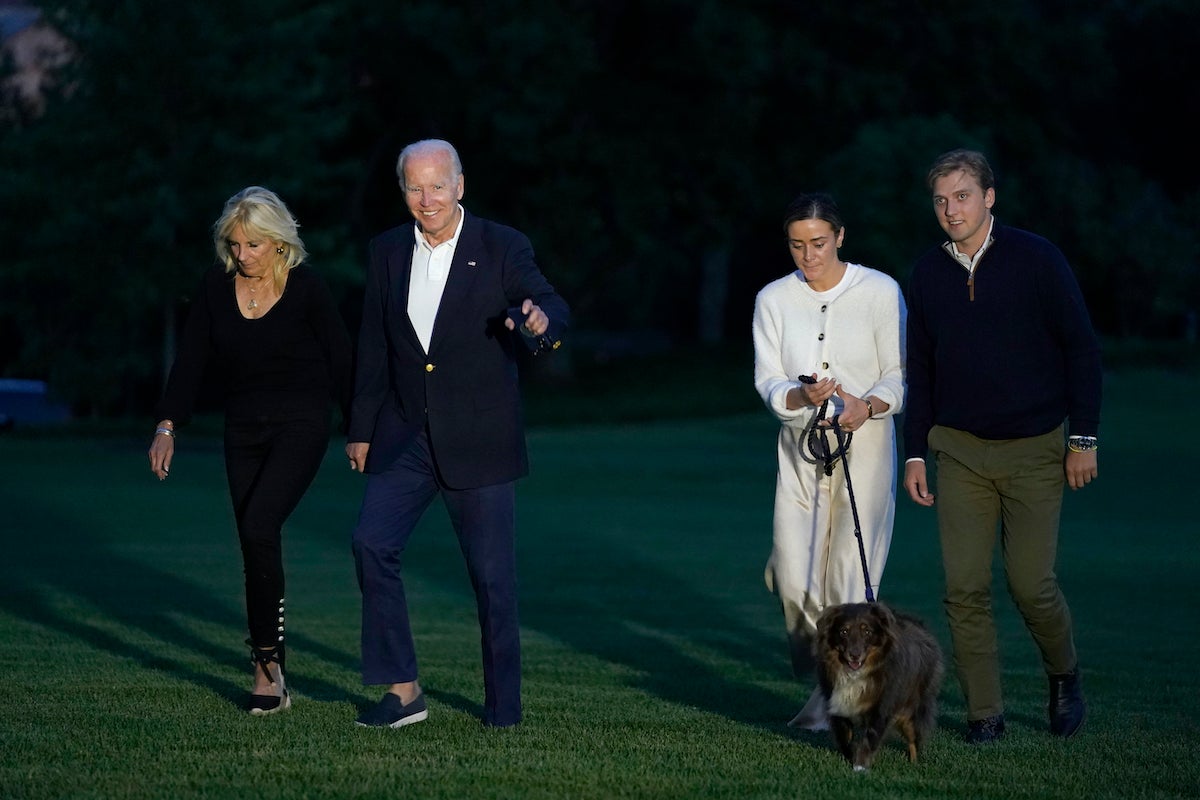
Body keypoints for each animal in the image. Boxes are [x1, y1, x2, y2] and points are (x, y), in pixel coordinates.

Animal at [811, 604, 940, 772]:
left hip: (911, 708)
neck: (855, 674)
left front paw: (860, 767)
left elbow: (870, 738)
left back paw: (914, 764)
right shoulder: (837, 706)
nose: (854, 655)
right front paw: (850, 758)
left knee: (913, 738)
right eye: (843, 631)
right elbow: (844, 737)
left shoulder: (881, 707)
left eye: (867, 632)